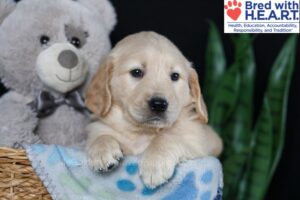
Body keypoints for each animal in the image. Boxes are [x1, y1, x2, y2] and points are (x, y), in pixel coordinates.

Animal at [85, 31, 221, 189]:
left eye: (175, 76)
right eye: (137, 72)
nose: (159, 104)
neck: (142, 131)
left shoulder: (198, 143)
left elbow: (167, 137)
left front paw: (155, 165)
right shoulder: (98, 126)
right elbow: (101, 135)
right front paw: (101, 150)